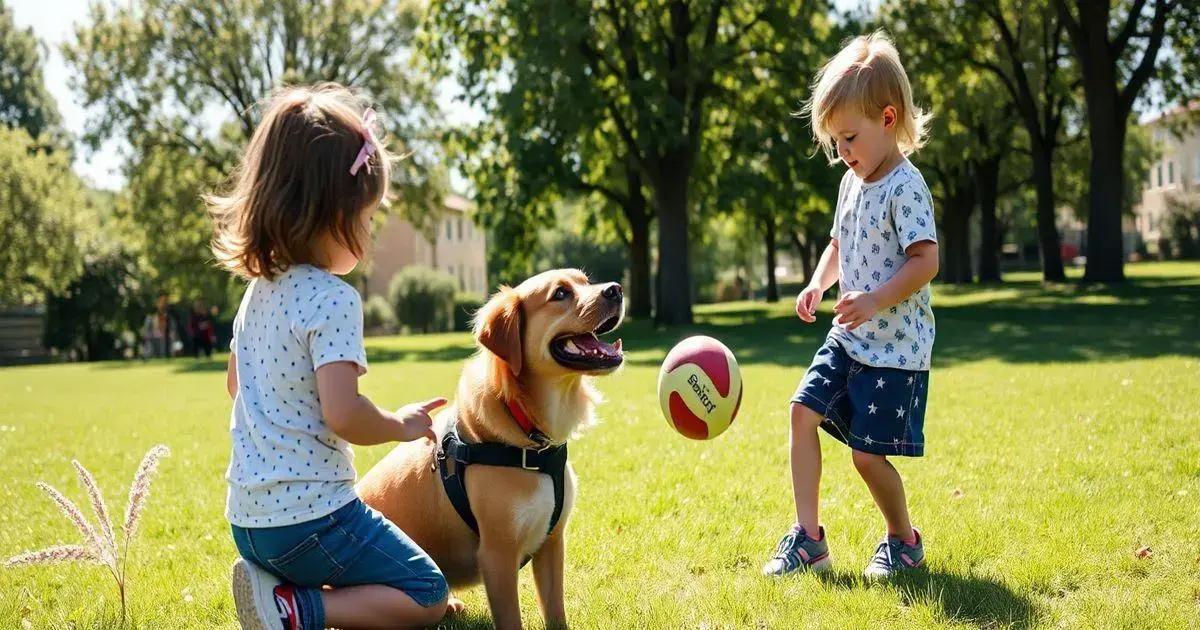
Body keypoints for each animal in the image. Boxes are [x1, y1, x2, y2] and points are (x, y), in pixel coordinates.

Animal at [355, 267, 628, 624]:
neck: (530, 436)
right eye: (560, 294)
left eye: (585, 281)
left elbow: (556, 613)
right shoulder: (497, 555)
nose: (616, 289)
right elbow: (511, 619)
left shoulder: (552, 542)